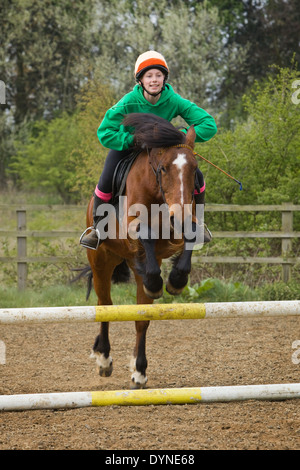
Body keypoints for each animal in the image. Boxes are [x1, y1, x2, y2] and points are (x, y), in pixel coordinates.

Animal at [84, 114, 204, 390]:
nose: (178, 215)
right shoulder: (135, 229)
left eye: (194, 169)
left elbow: (191, 236)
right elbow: (145, 234)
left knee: (141, 318)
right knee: (105, 304)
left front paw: (175, 281)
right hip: (101, 261)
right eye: (164, 169)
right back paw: (104, 358)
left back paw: (139, 372)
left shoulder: (179, 226)